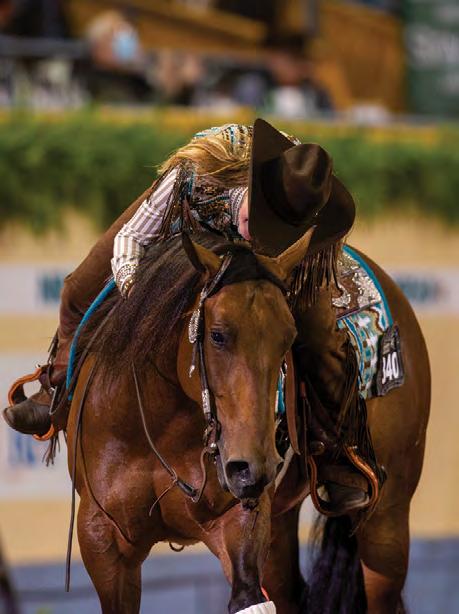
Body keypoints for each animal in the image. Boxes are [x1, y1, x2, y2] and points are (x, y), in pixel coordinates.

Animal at [66, 229, 430, 614]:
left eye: (289, 337)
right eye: (217, 335)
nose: (254, 468)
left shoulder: (242, 522)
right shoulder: (103, 542)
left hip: (387, 520)